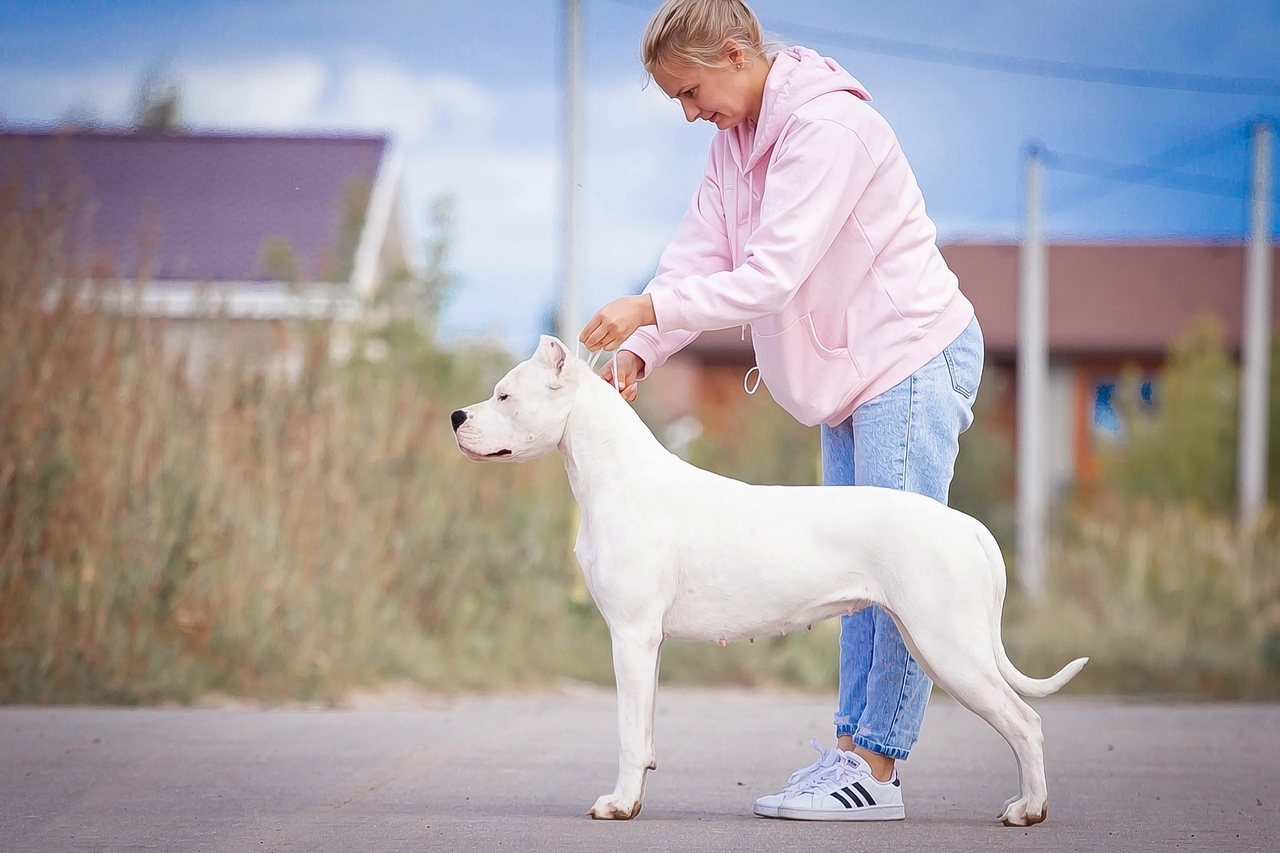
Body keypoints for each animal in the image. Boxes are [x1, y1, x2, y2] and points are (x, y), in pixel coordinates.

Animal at [455, 338, 1085, 824]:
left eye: (505, 395)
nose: (458, 417)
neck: (615, 475)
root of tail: (968, 526)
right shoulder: (647, 643)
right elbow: (646, 728)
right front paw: (637, 794)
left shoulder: (629, 636)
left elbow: (628, 735)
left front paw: (619, 804)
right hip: (926, 639)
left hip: (949, 647)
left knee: (1026, 724)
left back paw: (1029, 810)